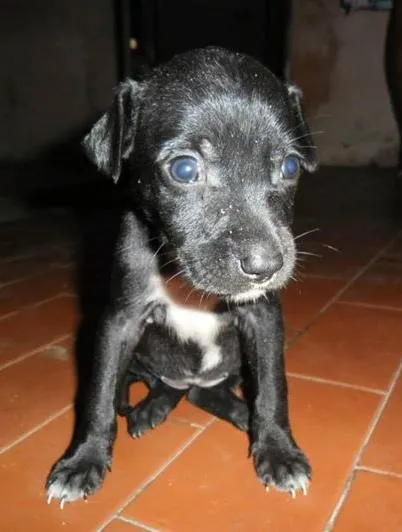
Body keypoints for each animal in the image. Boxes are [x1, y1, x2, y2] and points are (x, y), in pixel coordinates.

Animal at [46, 46, 318, 508]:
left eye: (290, 166)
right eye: (186, 170)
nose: (267, 266)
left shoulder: (262, 319)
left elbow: (272, 389)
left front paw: (278, 451)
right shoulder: (121, 321)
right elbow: (98, 396)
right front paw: (82, 462)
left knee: (203, 391)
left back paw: (238, 412)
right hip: (142, 360)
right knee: (161, 388)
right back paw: (148, 410)